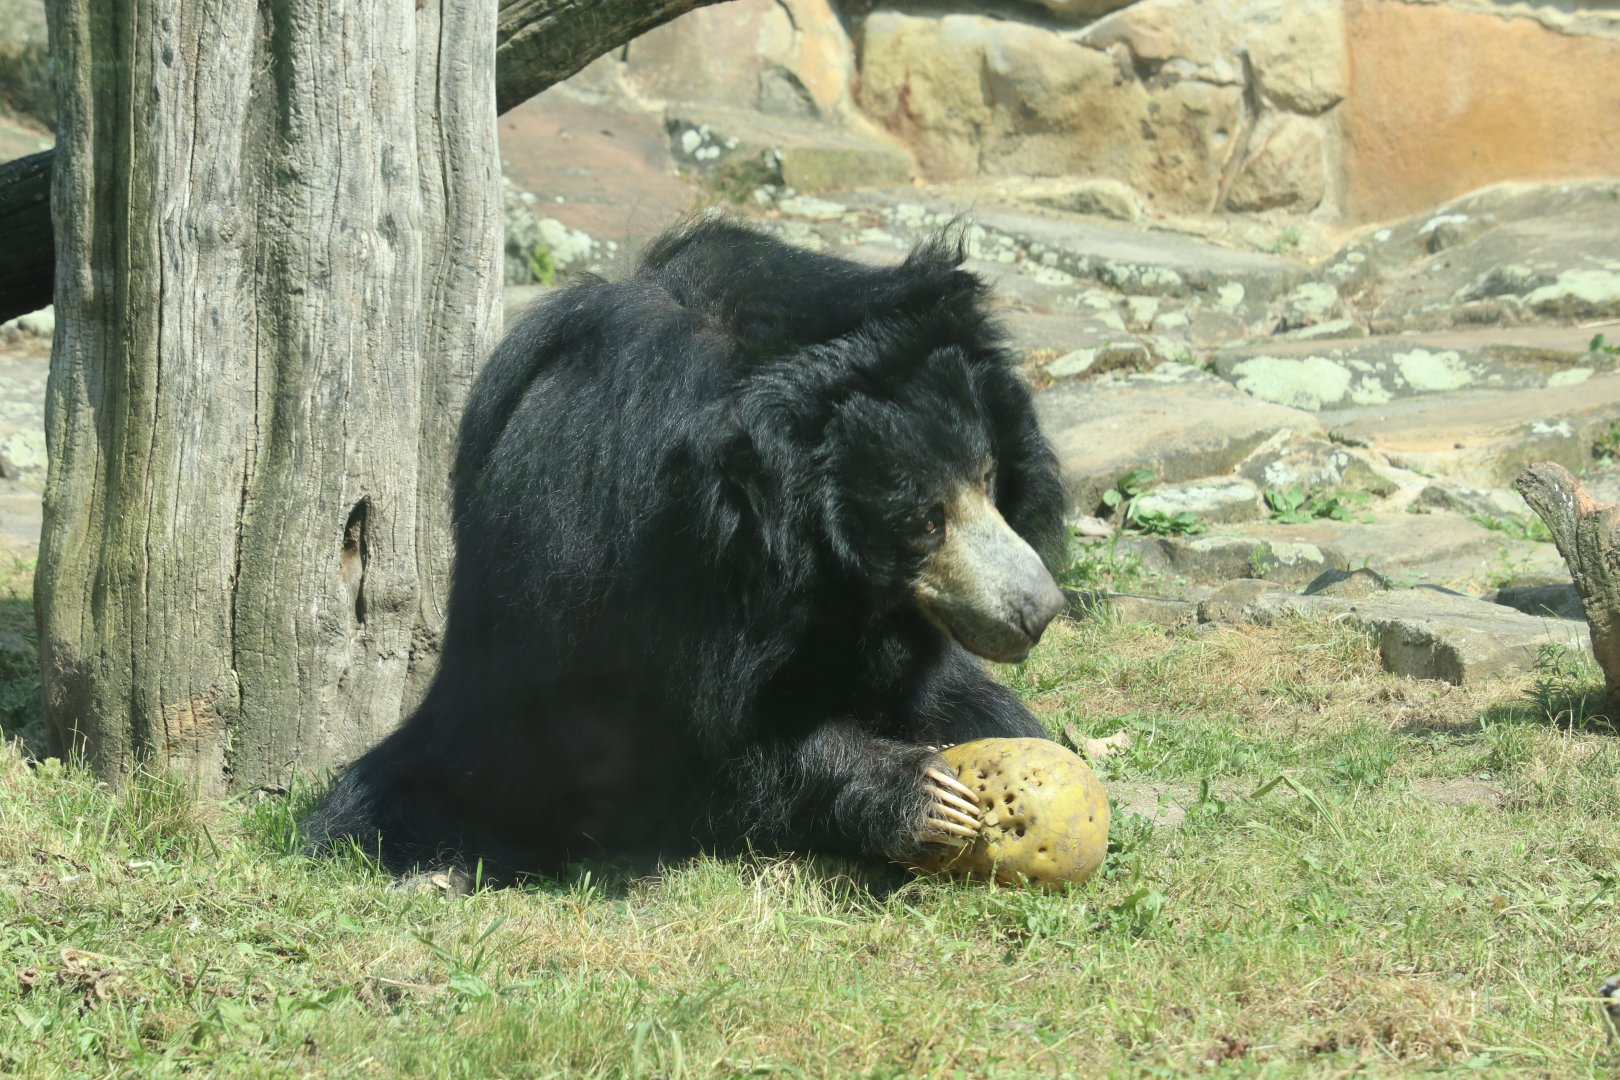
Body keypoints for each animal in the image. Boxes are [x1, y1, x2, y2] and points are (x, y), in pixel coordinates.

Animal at [304, 218, 1070, 880]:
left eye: (987, 476)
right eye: (922, 523)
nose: (1039, 611)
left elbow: (964, 704)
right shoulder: (623, 568)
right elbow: (689, 742)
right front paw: (925, 796)